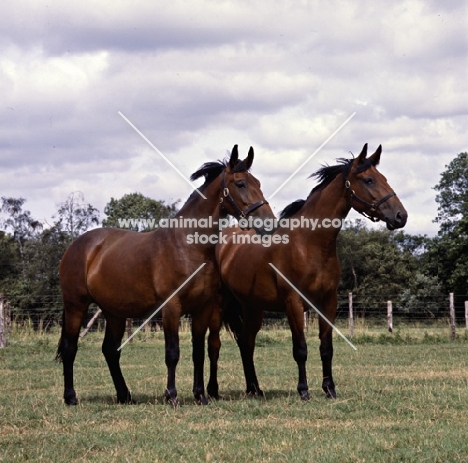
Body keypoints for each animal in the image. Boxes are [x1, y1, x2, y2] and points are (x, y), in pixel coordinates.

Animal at [55, 145, 274, 406]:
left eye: (258, 182)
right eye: (240, 183)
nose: (269, 223)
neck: (188, 246)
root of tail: (77, 245)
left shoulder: (203, 308)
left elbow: (198, 352)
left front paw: (200, 395)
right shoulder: (171, 307)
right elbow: (172, 353)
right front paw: (172, 395)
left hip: (114, 312)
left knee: (110, 350)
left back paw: (125, 395)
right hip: (76, 305)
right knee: (70, 348)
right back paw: (70, 397)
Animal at [214, 144, 408, 398]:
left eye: (384, 178)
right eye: (369, 180)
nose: (401, 216)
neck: (309, 245)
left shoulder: (328, 303)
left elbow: (326, 348)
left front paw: (330, 389)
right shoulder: (294, 303)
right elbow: (301, 349)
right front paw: (303, 390)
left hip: (253, 307)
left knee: (246, 343)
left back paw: (255, 389)